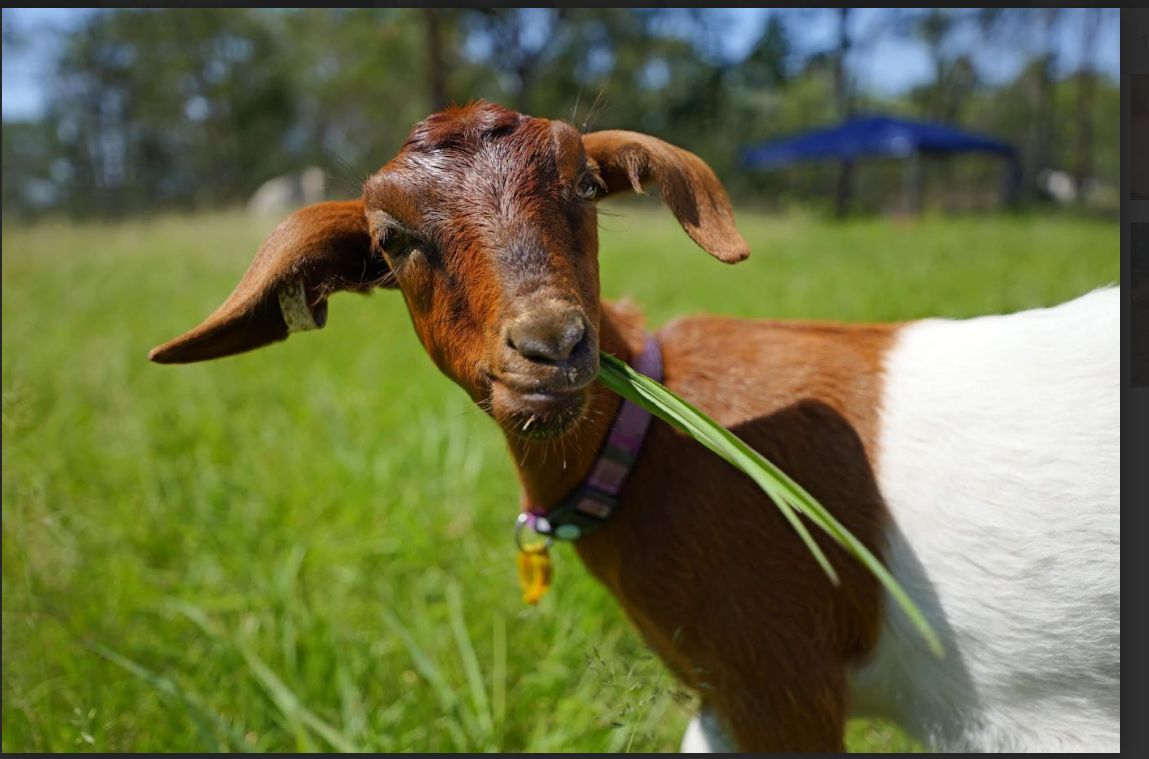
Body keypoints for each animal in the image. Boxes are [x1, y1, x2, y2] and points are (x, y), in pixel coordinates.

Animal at [149, 102, 1120, 752]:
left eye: (584, 184)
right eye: (391, 242)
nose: (551, 345)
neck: (654, 440)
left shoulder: (779, 682)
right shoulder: (725, 694)